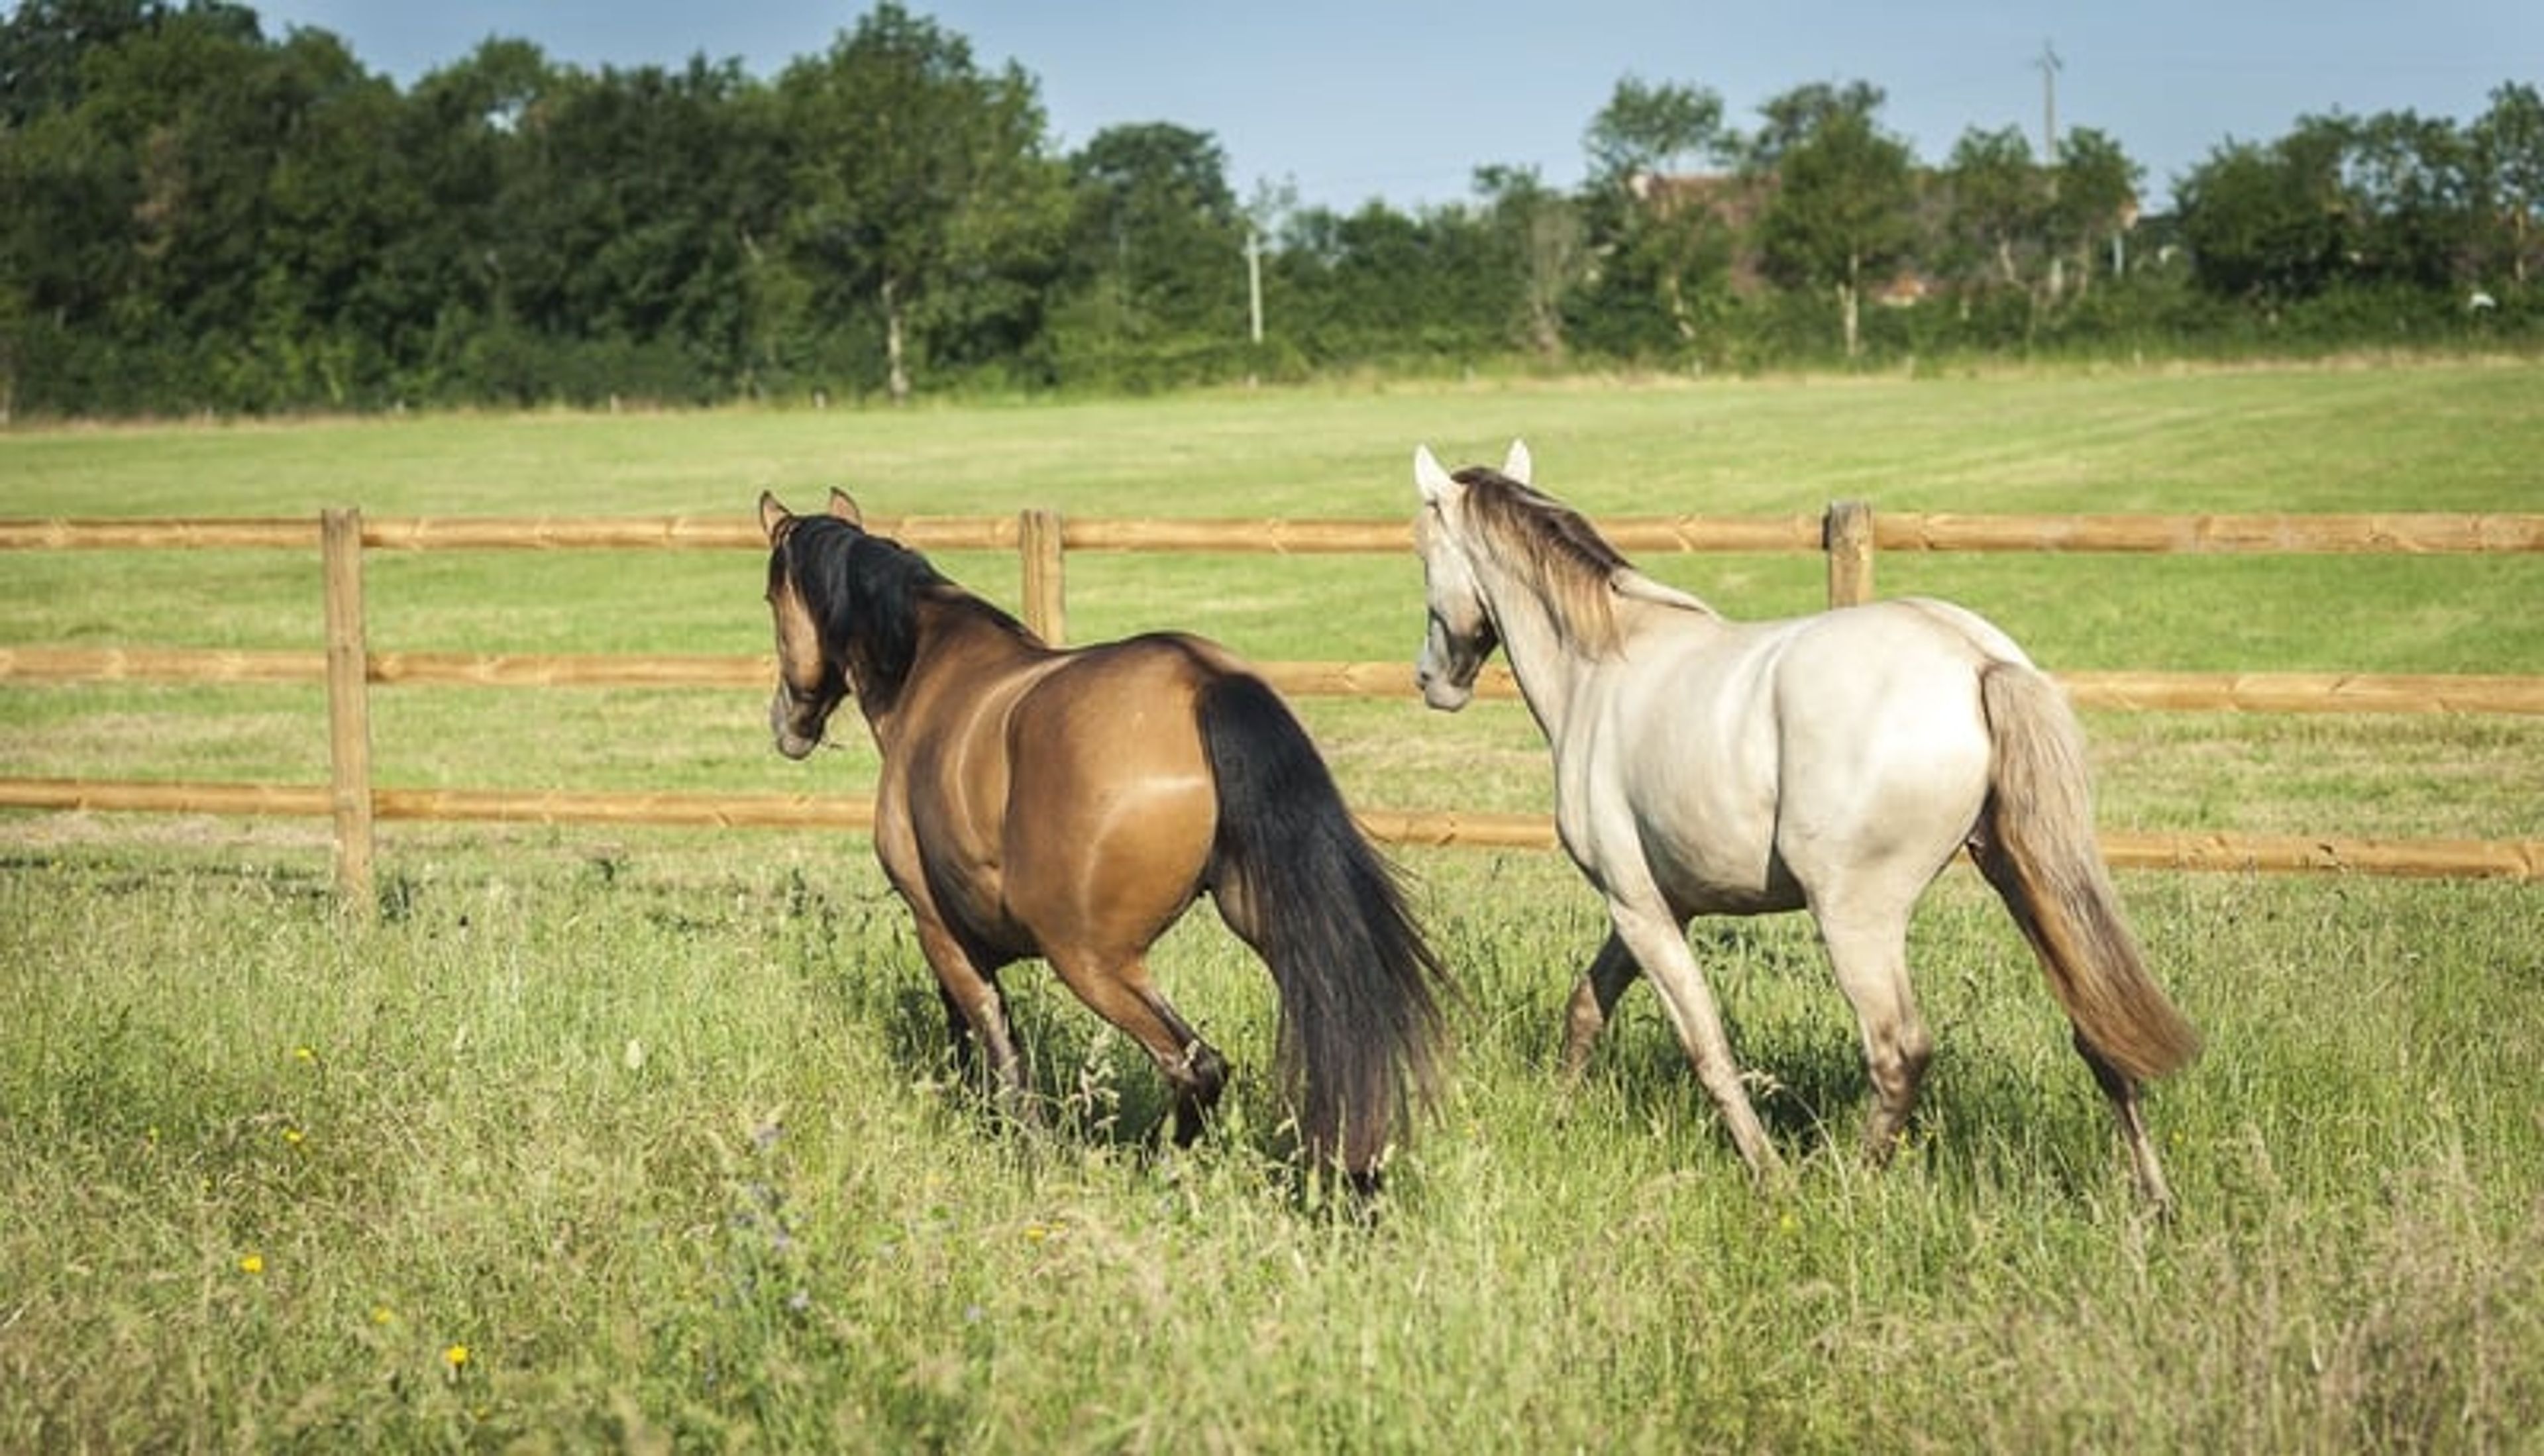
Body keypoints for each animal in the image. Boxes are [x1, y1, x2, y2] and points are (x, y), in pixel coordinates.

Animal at [759, 490, 1449, 1189]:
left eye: (770, 599)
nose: (787, 723)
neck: (929, 663)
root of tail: (1200, 682)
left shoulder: (941, 931)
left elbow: (998, 1050)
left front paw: (1025, 1153)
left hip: (1092, 961)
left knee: (1196, 1066)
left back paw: (1158, 1167)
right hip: (1275, 925)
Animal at [1408, 443, 2199, 1207]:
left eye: (1424, 553)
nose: (1431, 682)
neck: (1598, 668)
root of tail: (1977, 661)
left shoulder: (1638, 907)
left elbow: (1706, 1045)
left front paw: (1769, 1176)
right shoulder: (1663, 905)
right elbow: (1586, 1008)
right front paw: (1558, 1118)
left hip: (1856, 914)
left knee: (1899, 1051)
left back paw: (1850, 1189)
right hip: (2022, 875)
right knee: (2096, 1027)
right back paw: (2154, 1199)